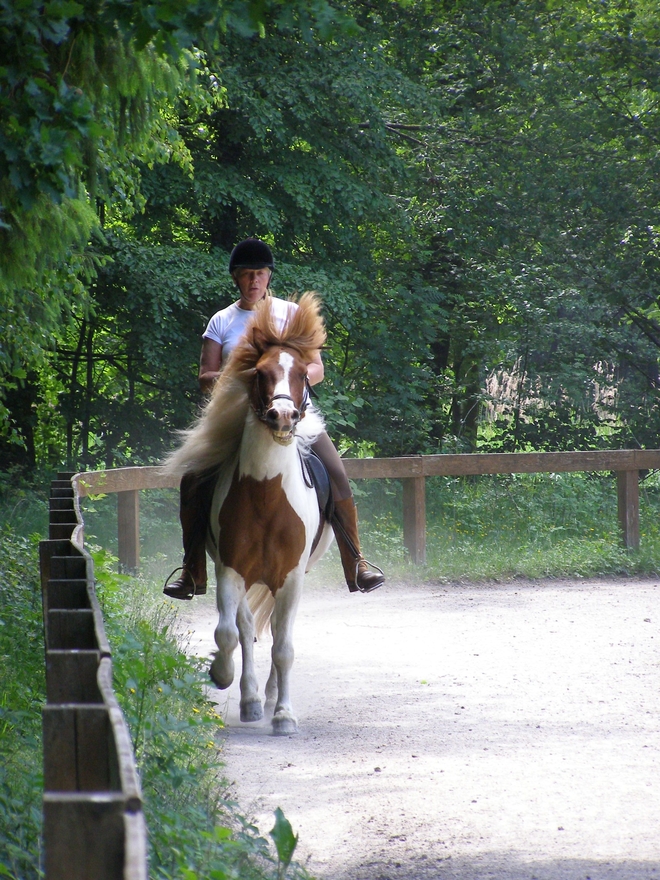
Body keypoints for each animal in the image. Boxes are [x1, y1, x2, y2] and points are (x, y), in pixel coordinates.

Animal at [165, 296, 330, 736]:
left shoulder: (291, 575)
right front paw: (222, 676)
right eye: (260, 372)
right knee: (244, 627)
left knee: (274, 630)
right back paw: (253, 699)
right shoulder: (230, 568)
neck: (266, 496)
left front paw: (285, 716)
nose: (283, 417)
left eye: (303, 373)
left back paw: (271, 697)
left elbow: (284, 646)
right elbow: (228, 632)